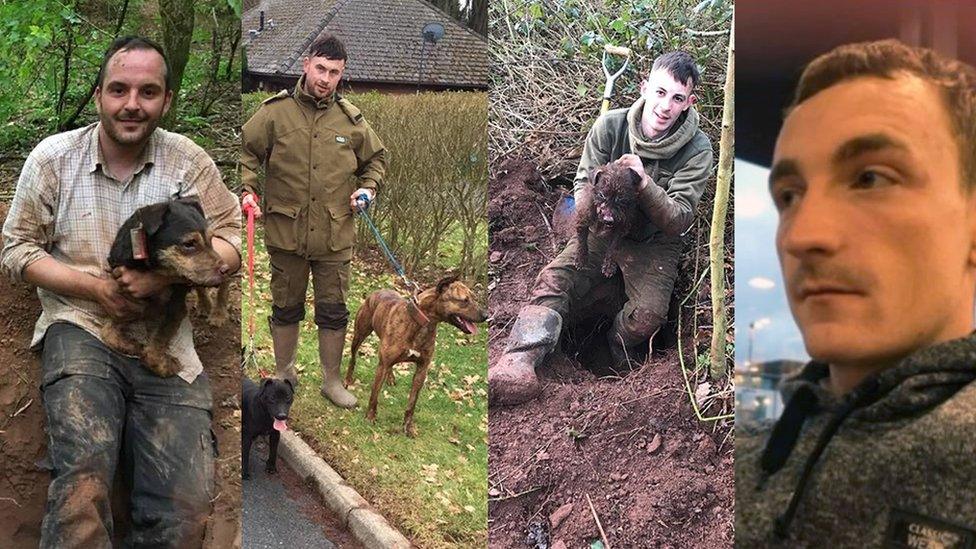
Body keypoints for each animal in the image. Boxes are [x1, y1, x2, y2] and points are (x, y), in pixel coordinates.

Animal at [101, 198, 229, 376]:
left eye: (211, 240)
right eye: (189, 244)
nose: (226, 269)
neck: (148, 265)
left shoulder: (175, 307)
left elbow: (157, 344)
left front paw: (166, 365)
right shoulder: (123, 297)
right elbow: (107, 331)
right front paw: (130, 345)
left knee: (223, 288)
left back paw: (219, 314)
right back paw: (204, 305)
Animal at [348, 278, 492, 436]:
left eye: (474, 298)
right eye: (464, 300)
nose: (486, 315)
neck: (422, 322)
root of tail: (377, 291)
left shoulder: (422, 370)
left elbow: (412, 403)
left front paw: (408, 427)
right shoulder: (382, 365)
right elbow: (374, 395)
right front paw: (370, 417)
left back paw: (390, 378)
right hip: (359, 334)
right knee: (353, 358)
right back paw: (348, 380)